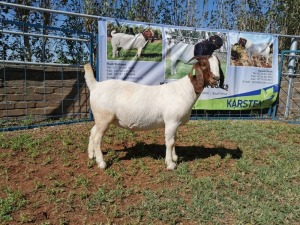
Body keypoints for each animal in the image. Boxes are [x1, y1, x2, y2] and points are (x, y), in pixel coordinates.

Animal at [83, 57, 217, 170]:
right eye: (204, 64)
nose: (216, 78)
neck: (184, 89)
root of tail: (96, 86)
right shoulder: (171, 121)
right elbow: (170, 142)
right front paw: (170, 164)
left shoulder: (175, 123)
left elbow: (174, 140)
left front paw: (174, 158)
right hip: (104, 117)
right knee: (97, 138)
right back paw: (101, 163)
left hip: (100, 119)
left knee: (92, 132)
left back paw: (91, 155)